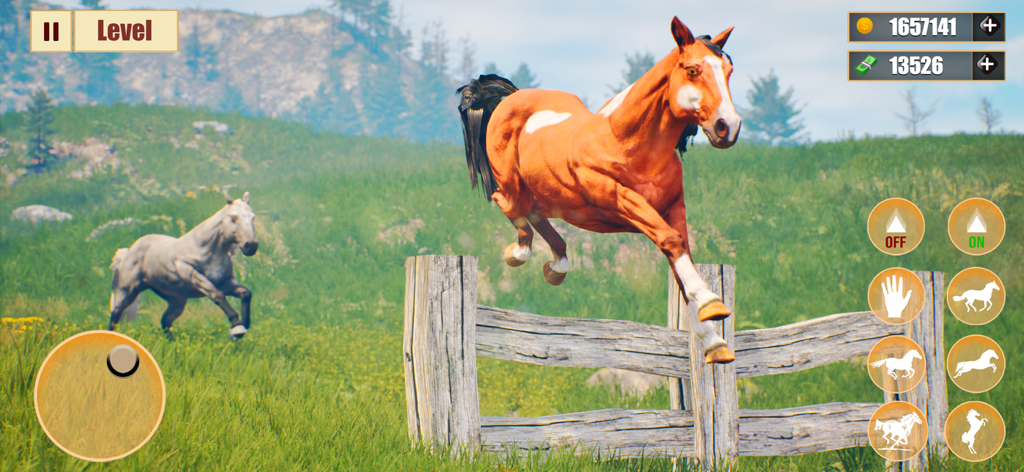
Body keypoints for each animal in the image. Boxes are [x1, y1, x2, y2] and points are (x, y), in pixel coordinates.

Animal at [108, 190, 258, 339]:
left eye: (253, 217)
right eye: (233, 218)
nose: (251, 246)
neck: (207, 250)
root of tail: (129, 252)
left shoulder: (225, 282)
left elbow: (246, 293)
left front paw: (242, 327)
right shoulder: (194, 277)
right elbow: (218, 295)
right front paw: (237, 328)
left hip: (176, 300)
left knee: (165, 321)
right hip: (128, 291)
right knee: (116, 314)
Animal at [458, 17, 741, 364]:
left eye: (728, 71)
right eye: (692, 69)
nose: (727, 126)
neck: (625, 141)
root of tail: (512, 97)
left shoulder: (673, 207)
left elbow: (679, 255)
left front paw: (715, 343)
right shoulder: (622, 201)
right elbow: (672, 242)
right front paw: (712, 305)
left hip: (548, 194)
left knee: (534, 211)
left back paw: (557, 265)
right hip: (513, 185)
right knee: (508, 203)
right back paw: (520, 253)